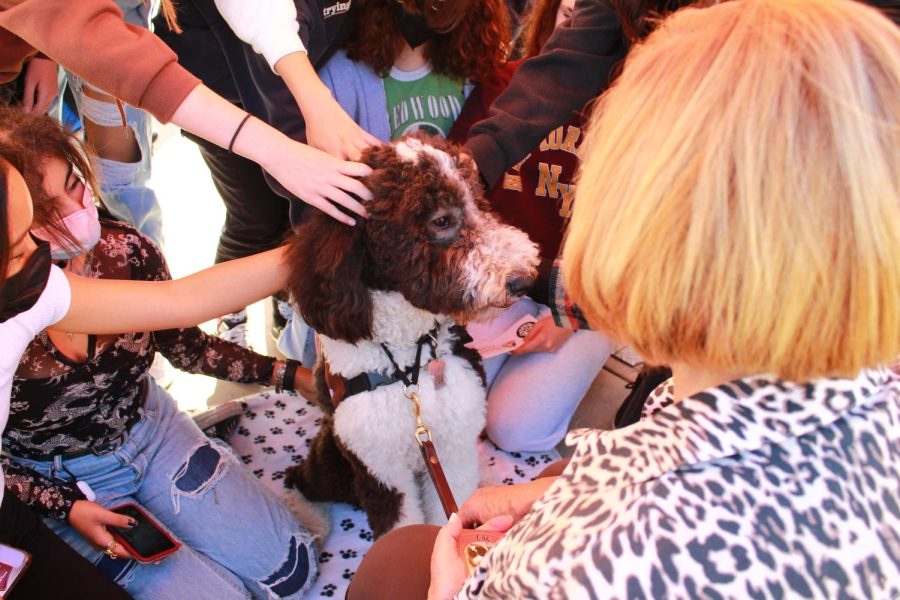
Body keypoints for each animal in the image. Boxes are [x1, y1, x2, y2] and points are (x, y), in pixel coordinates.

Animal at [284, 137, 536, 540]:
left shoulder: (452, 444)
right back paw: (311, 519)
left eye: (480, 204)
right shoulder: (379, 468)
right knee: (300, 478)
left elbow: (452, 507)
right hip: (332, 456)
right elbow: (401, 524)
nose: (524, 280)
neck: (407, 365)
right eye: (442, 220)